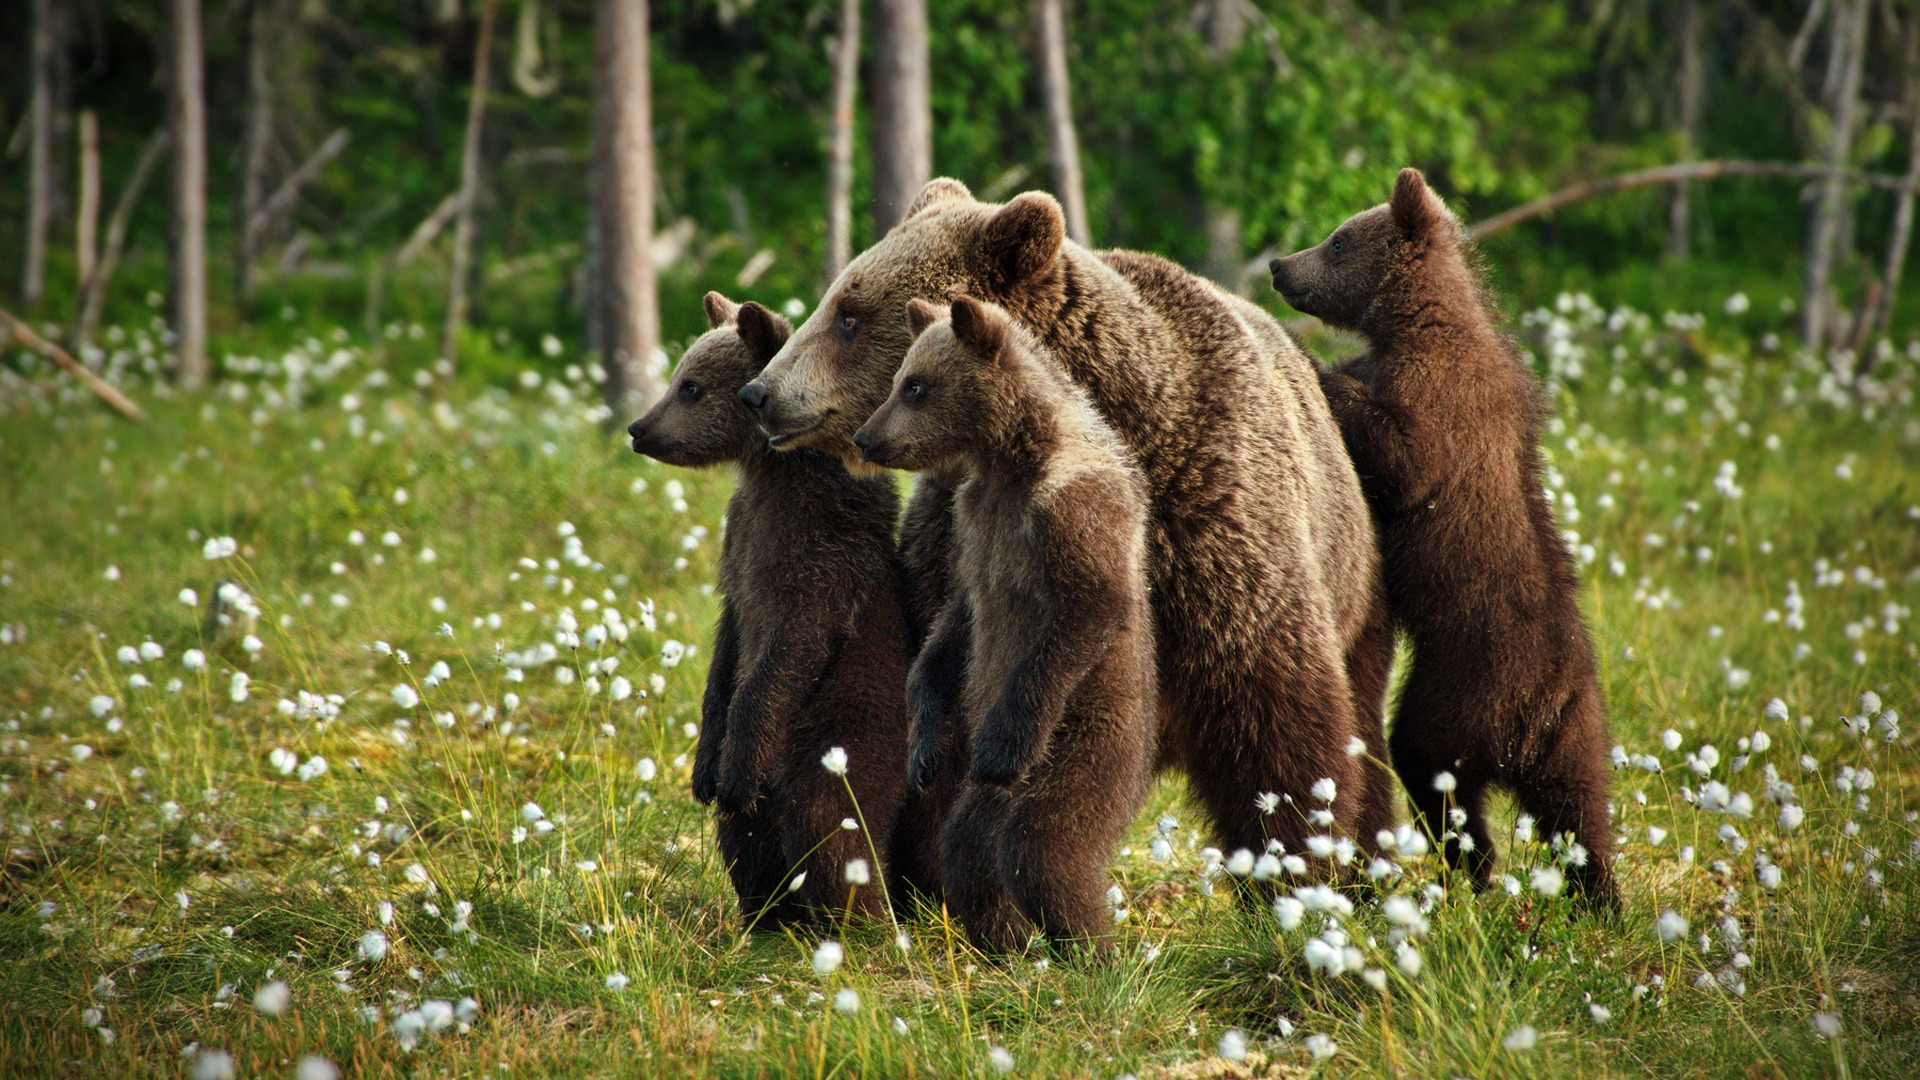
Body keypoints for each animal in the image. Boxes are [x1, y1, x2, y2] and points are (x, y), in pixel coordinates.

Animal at [629, 290, 929, 922]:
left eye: (691, 386)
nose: (638, 428)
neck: (772, 470)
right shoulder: (741, 542)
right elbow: (728, 647)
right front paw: (704, 772)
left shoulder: (815, 552)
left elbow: (785, 652)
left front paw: (735, 772)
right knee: (745, 837)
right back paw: (765, 913)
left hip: (847, 735)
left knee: (829, 824)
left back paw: (855, 914)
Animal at [733, 180, 1397, 880]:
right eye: (838, 299)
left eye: (849, 315)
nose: (761, 392)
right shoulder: (963, 540)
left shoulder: (1212, 528)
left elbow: (1276, 712)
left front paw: (1300, 858)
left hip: (1358, 582)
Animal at [856, 295, 1152, 949]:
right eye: (900, 379)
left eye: (916, 386)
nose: (866, 437)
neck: (1012, 459)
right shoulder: (975, 524)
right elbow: (956, 625)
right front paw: (922, 744)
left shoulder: (1069, 510)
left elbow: (1086, 608)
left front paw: (999, 743)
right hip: (987, 800)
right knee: (966, 846)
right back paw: (1005, 941)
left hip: (1088, 738)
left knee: (1044, 845)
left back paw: (1091, 947)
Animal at [1274, 168, 1620, 903]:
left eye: (1338, 239)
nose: (1279, 265)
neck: (1413, 323)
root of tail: (1536, 709)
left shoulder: (1443, 398)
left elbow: (1404, 455)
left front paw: (1316, 364)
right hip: (1579, 728)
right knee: (1582, 812)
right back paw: (1600, 899)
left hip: (1462, 688)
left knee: (1431, 766)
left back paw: (1476, 866)